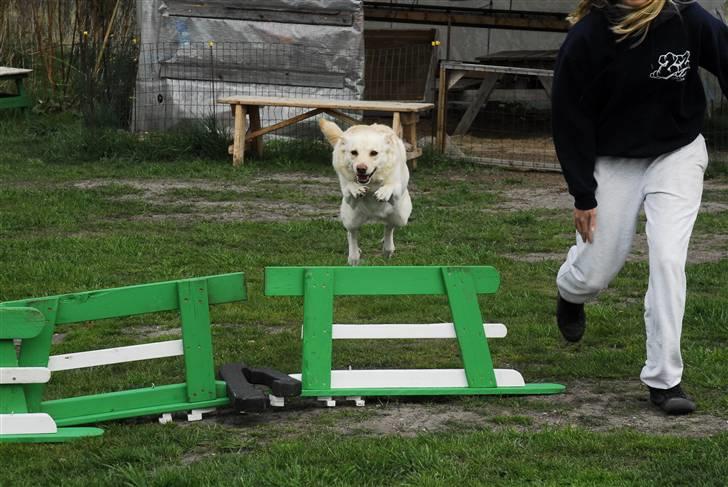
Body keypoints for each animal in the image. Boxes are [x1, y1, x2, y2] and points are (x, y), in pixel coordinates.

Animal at [318, 120, 410, 268]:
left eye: (374, 153)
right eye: (354, 152)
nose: (361, 168)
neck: (371, 182)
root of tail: (373, 215)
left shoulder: (397, 192)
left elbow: (392, 185)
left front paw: (384, 191)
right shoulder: (348, 197)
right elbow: (349, 186)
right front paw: (355, 188)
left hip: (401, 217)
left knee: (389, 226)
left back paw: (388, 249)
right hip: (351, 218)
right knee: (352, 233)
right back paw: (354, 256)